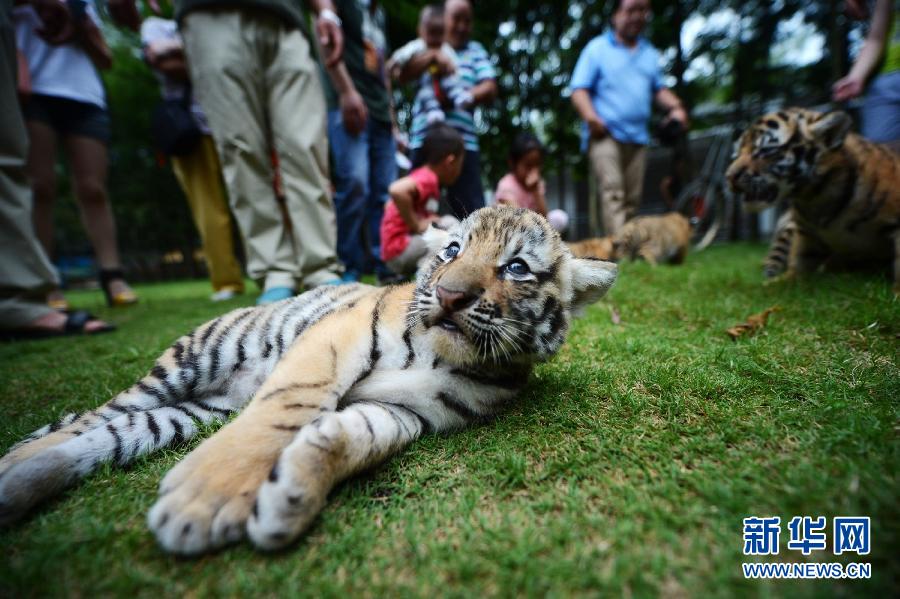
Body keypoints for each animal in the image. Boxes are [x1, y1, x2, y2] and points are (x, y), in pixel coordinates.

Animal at [0, 207, 617, 555]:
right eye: (451, 250)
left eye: (516, 268)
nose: (449, 295)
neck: (439, 358)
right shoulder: (334, 339)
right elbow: (284, 408)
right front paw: (206, 501)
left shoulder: (408, 414)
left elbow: (356, 438)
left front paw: (291, 496)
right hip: (188, 363)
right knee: (88, 419)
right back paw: (13, 463)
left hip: (182, 418)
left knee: (97, 441)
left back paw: (16, 487)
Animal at [726, 107, 900, 291]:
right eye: (736, 154)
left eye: (765, 150)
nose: (729, 176)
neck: (814, 197)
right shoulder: (805, 235)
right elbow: (794, 268)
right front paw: (760, 287)